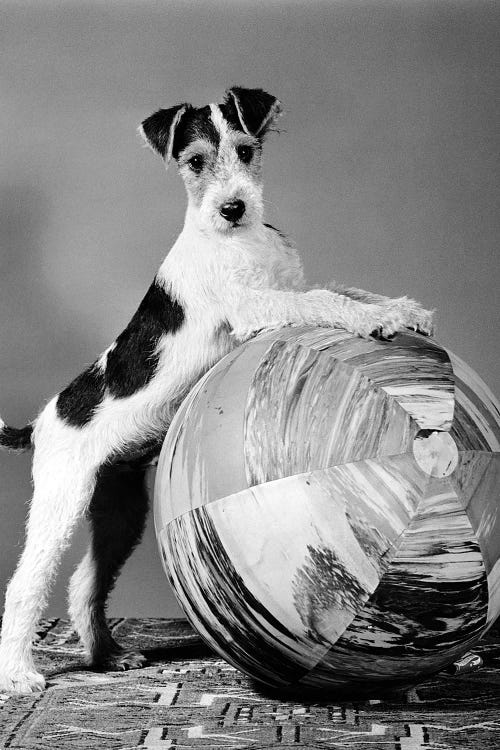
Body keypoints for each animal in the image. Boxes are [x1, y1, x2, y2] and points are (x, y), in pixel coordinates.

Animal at [0, 86, 434, 692]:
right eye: (195, 162)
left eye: (246, 150)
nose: (234, 208)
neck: (239, 241)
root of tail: (40, 423)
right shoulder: (255, 307)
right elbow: (325, 301)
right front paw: (380, 318)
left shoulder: (286, 287)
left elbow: (343, 290)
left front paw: (399, 309)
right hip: (61, 500)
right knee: (25, 585)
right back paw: (19, 675)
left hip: (119, 508)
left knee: (85, 582)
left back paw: (107, 656)